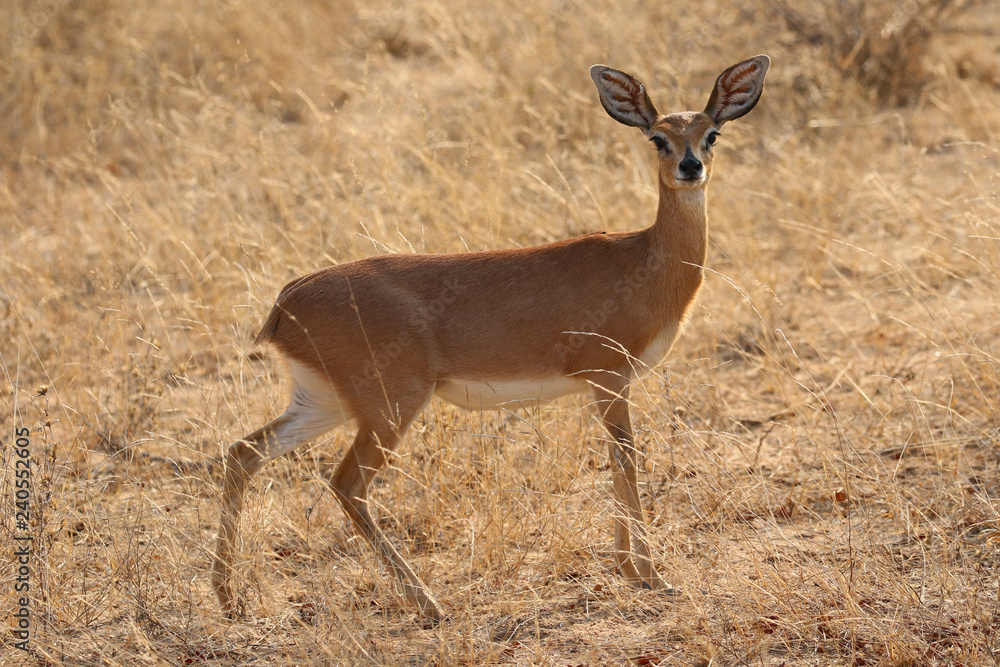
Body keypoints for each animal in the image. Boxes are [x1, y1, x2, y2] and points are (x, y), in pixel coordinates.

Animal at [212, 55, 770, 625]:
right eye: (658, 138)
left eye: (712, 134)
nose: (690, 167)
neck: (645, 261)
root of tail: (285, 304)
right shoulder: (610, 377)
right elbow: (626, 458)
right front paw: (651, 574)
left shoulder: (604, 385)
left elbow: (616, 461)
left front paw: (629, 570)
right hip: (391, 406)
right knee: (346, 484)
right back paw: (430, 603)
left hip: (323, 402)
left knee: (243, 452)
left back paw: (229, 597)